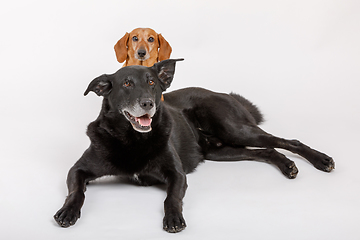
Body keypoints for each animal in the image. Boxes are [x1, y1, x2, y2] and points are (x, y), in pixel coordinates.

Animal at [53, 58, 334, 232]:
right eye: (127, 84)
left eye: (152, 82)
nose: (148, 104)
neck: (132, 140)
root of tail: (222, 93)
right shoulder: (77, 170)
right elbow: (76, 191)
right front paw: (67, 212)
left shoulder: (176, 174)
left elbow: (171, 197)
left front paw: (174, 218)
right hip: (220, 151)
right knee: (266, 151)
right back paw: (287, 165)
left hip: (235, 129)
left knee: (285, 141)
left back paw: (321, 160)